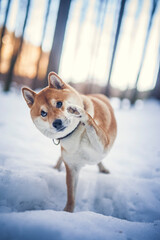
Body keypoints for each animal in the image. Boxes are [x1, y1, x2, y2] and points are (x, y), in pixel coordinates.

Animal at [21, 71, 117, 212]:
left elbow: (92, 125)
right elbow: (71, 196)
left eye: (59, 104)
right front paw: (67, 212)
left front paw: (81, 113)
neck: (75, 133)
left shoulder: (104, 145)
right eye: (43, 113)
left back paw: (102, 168)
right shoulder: (72, 167)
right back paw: (56, 167)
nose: (56, 123)